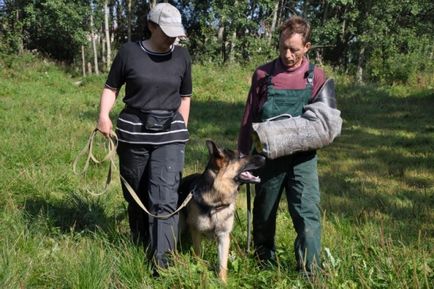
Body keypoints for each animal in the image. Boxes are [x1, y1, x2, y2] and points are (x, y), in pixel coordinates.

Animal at [176, 140, 264, 282]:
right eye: (241, 156)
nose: (264, 157)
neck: (216, 201)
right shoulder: (196, 231)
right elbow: (198, 253)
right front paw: (201, 271)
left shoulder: (223, 236)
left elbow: (223, 264)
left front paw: (222, 282)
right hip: (180, 226)